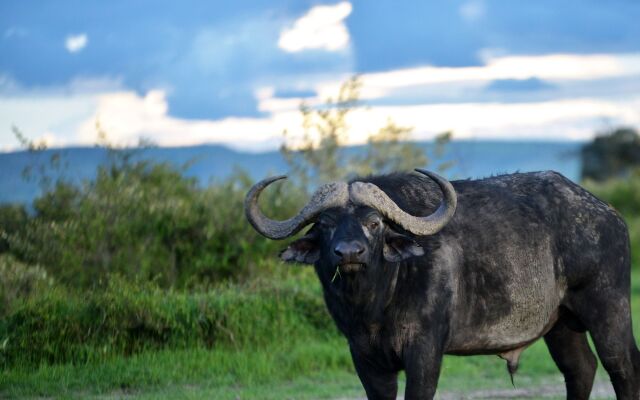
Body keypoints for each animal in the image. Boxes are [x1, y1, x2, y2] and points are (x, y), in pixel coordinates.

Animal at [245, 170, 640, 400]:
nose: (349, 253)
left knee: (622, 367)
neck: (375, 306)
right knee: (580, 369)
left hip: (608, 308)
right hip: (559, 324)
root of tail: (609, 215)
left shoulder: (424, 351)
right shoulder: (364, 357)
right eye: (326, 224)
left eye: (374, 223)